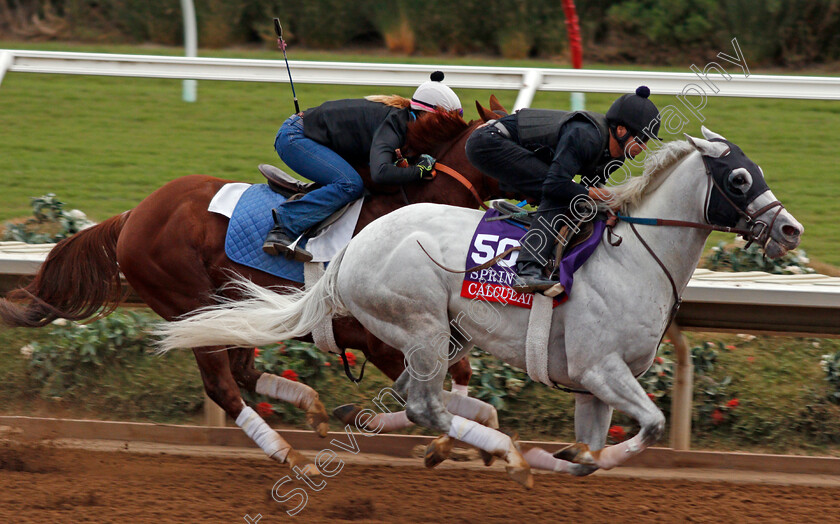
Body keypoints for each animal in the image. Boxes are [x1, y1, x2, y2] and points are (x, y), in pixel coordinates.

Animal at [0, 100, 512, 472]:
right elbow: (423, 394)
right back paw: (291, 454)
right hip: (192, 306)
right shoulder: (381, 342)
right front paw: (445, 441)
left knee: (244, 371)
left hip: (235, 307)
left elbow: (462, 373)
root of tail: (132, 215)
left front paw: (464, 442)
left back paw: (312, 409)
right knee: (223, 387)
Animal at [156, 129, 800, 490]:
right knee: (424, 405)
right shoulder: (602, 370)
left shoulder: (592, 387)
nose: (790, 230)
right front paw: (533, 455)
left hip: (433, 336)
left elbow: (589, 459)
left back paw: (366, 419)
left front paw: (555, 456)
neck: (634, 257)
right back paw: (498, 449)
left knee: (418, 399)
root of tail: (348, 252)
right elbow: (652, 426)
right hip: (418, 325)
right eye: (739, 179)